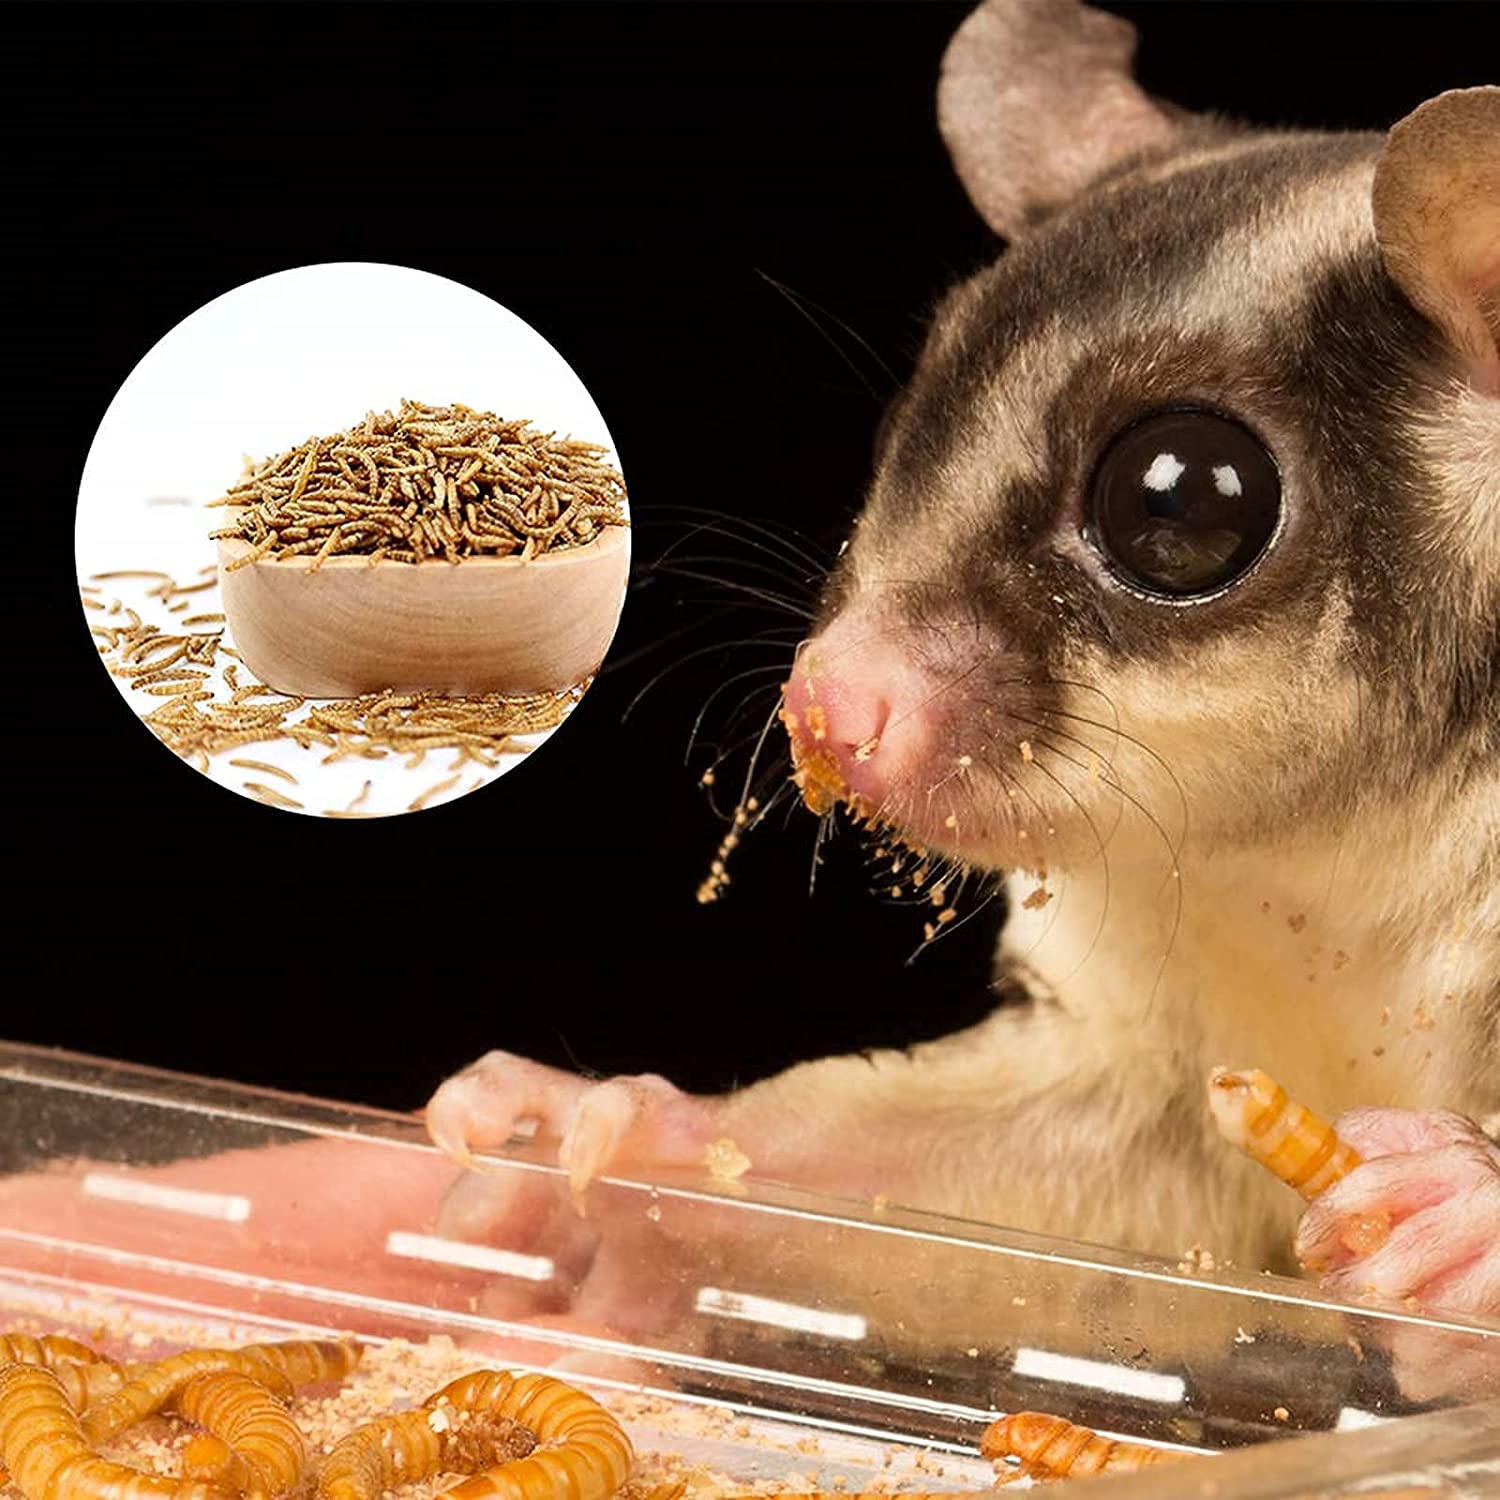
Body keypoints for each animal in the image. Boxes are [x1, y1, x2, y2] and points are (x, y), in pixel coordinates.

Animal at [427, 0, 1499, 1336]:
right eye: (906, 428)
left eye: (1184, 502)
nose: (829, 710)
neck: (1324, 851)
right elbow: (1111, 1170)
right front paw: (619, 1130)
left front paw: (1462, 1215)